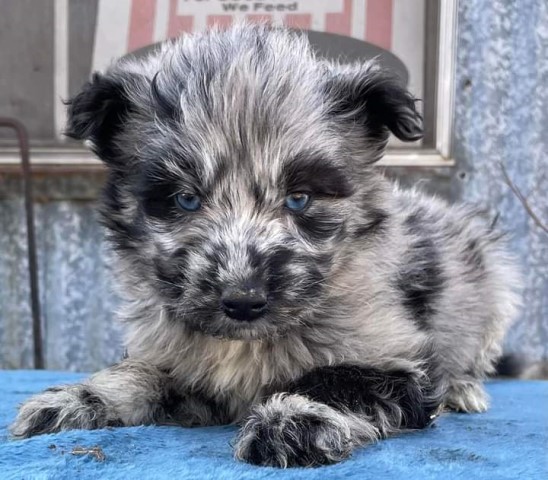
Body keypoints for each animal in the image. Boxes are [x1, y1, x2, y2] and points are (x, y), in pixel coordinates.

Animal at [10, 23, 520, 468]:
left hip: (494, 283)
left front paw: (293, 419)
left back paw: (463, 389)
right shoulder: (173, 357)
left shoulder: (393, 357)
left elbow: (339, 379)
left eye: (300, 198)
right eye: (185, 199)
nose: (243, 301)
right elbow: (141, 372)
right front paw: (76, 399)